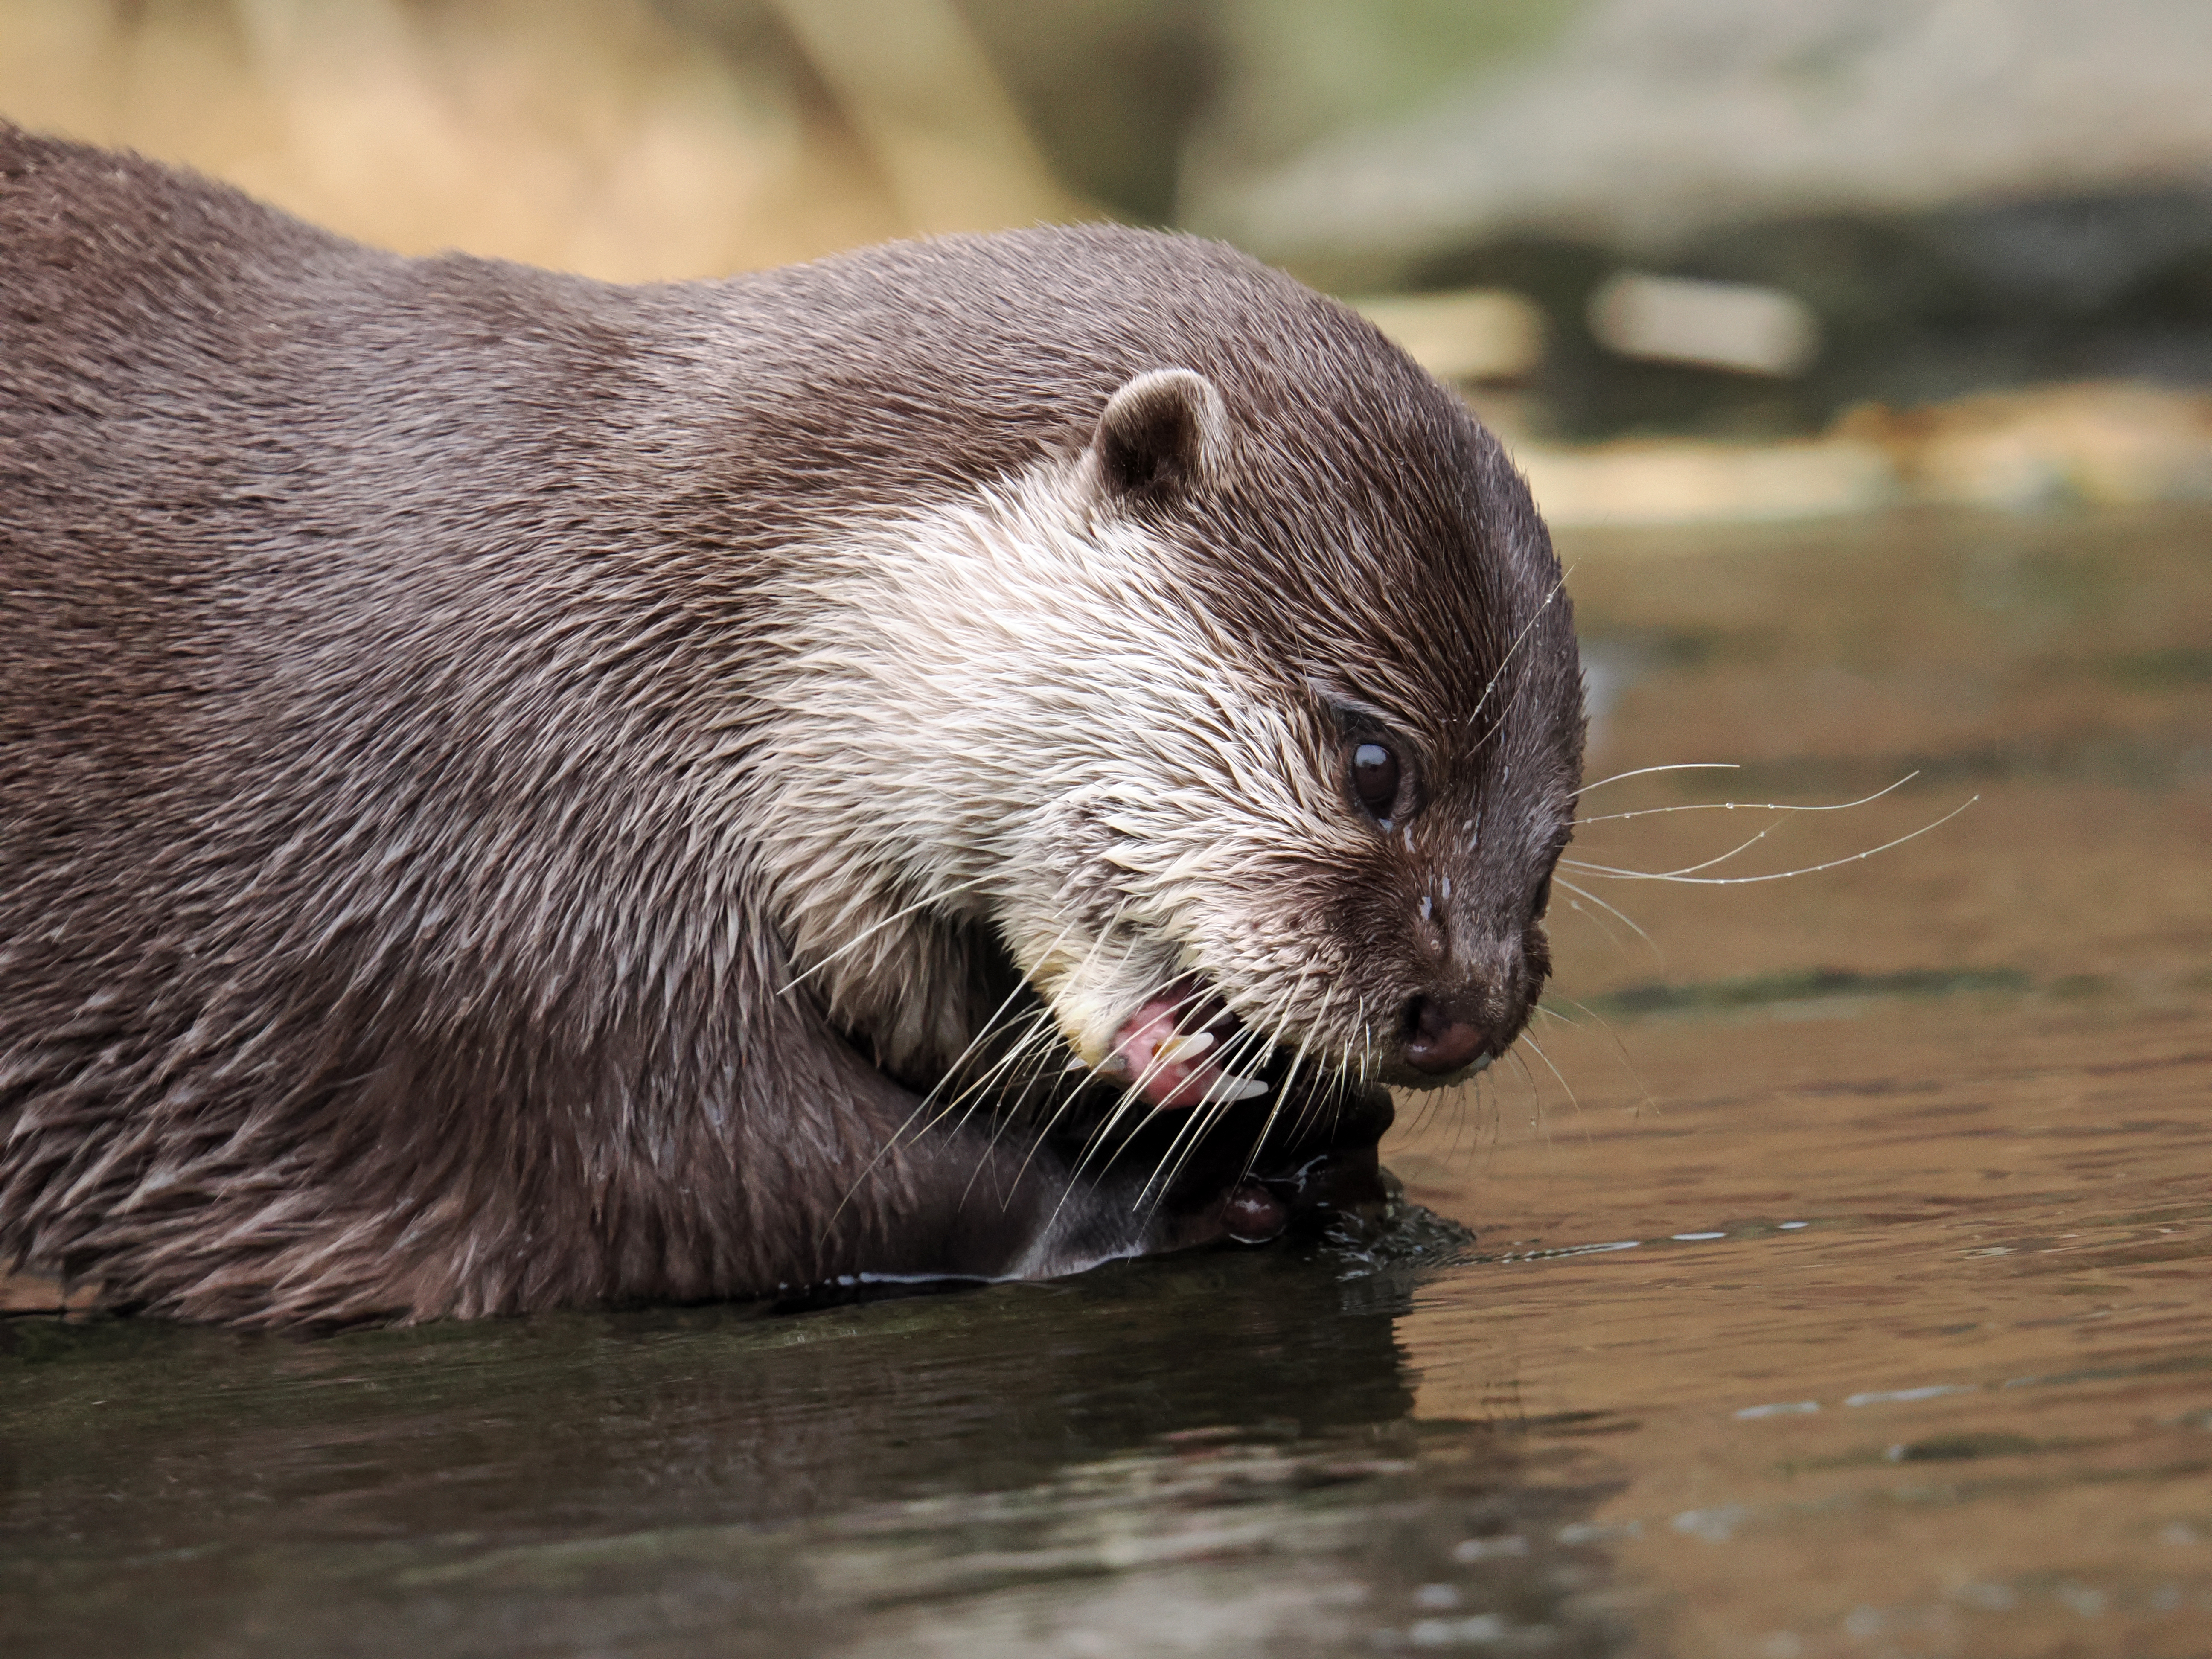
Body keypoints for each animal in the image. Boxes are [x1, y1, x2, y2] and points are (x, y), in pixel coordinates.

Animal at [0, 128, 1584, 1327]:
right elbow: (713, 1171)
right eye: (1374, 762)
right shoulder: (478, 878)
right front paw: (1205, 1182)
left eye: (1555, 835)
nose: (1469, 1006)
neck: (630, 605)